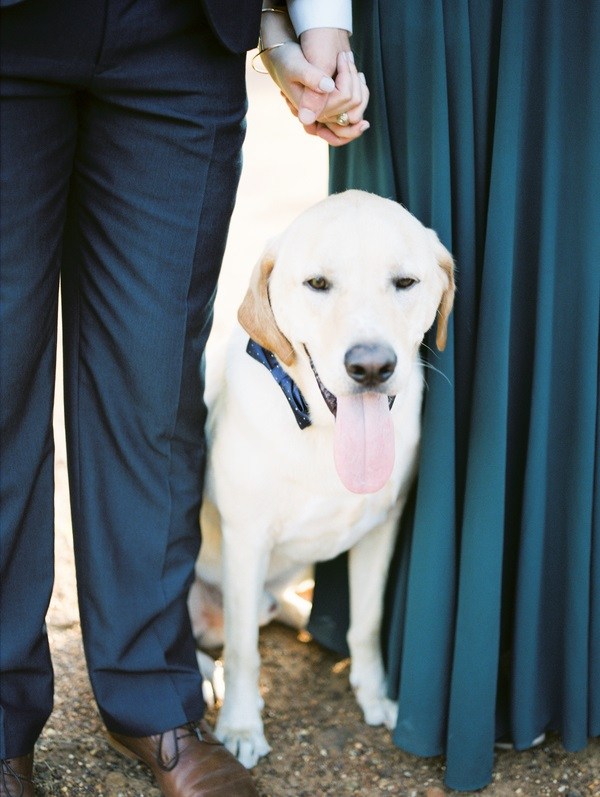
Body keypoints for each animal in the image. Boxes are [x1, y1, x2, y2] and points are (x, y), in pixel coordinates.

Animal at [190, 190, 452, 768]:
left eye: (405, 282)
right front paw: (240, 725)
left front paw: (373, 694)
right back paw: (203, 677)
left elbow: (368, 623)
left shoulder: (383, 528)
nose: (371, 367)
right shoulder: (246, 538)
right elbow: (243, 651)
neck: (326, 433)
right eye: (317, 283)